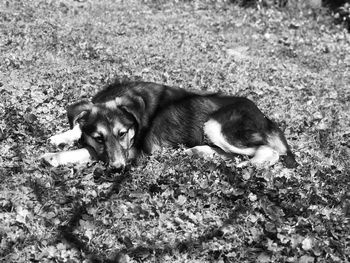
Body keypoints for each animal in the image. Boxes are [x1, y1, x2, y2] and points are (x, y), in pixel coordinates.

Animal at [41, 81, 298, 170]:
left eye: (122, 134)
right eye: (99, 137)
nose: (117, 169)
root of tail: (264, 116)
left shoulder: (135, 150)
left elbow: (88, 152)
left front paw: (55, 156)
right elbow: (79, 127)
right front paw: (61, 136)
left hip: (217, 125)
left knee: (269, 151)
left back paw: (247, 166)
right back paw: (199, 152)